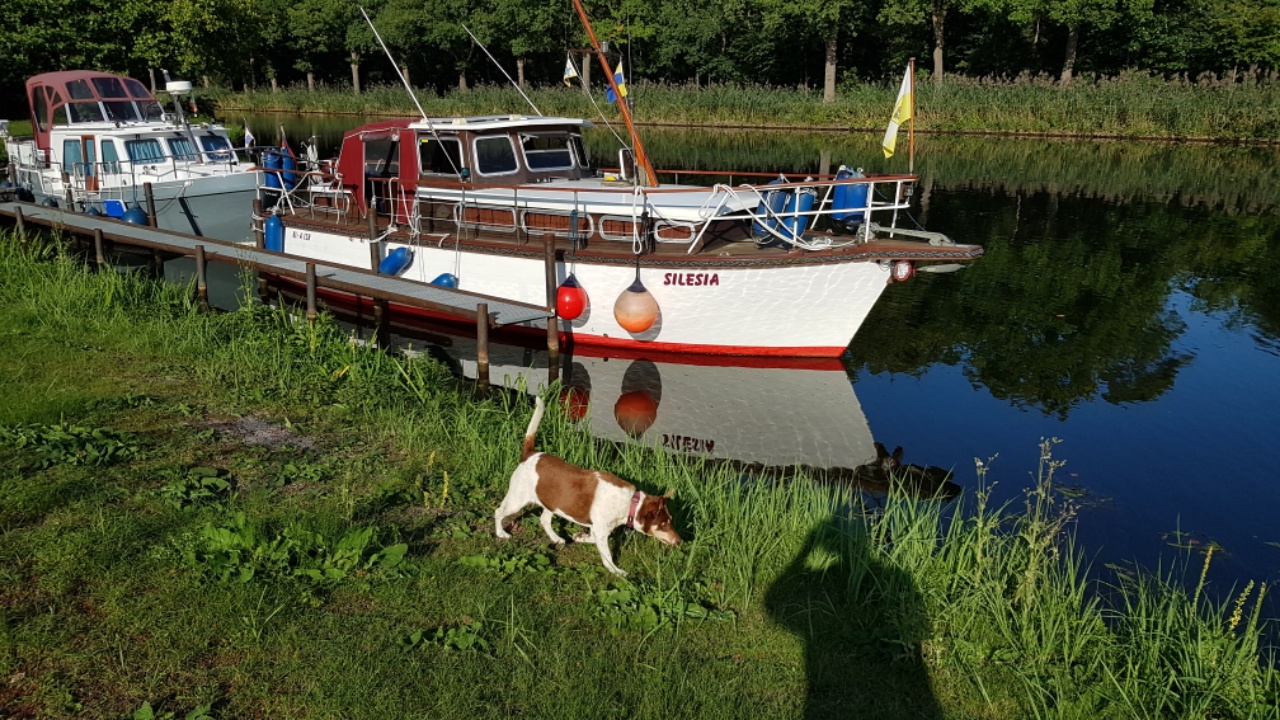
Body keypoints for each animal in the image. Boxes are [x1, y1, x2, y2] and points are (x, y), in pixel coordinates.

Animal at [494, 394, 686, 573]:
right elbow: (607, 555)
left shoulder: (599, 529)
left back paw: (556, 538)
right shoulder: (601, 530)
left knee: (544, 519)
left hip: (552, 502)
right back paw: (501, 533)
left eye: (669, 521)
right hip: (517, 500)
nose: (679, 541)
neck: (631, 503)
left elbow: (591, 537)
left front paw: (580, 537)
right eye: (664, 524)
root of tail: (530, 454)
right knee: (499, 512)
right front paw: (616, 571)